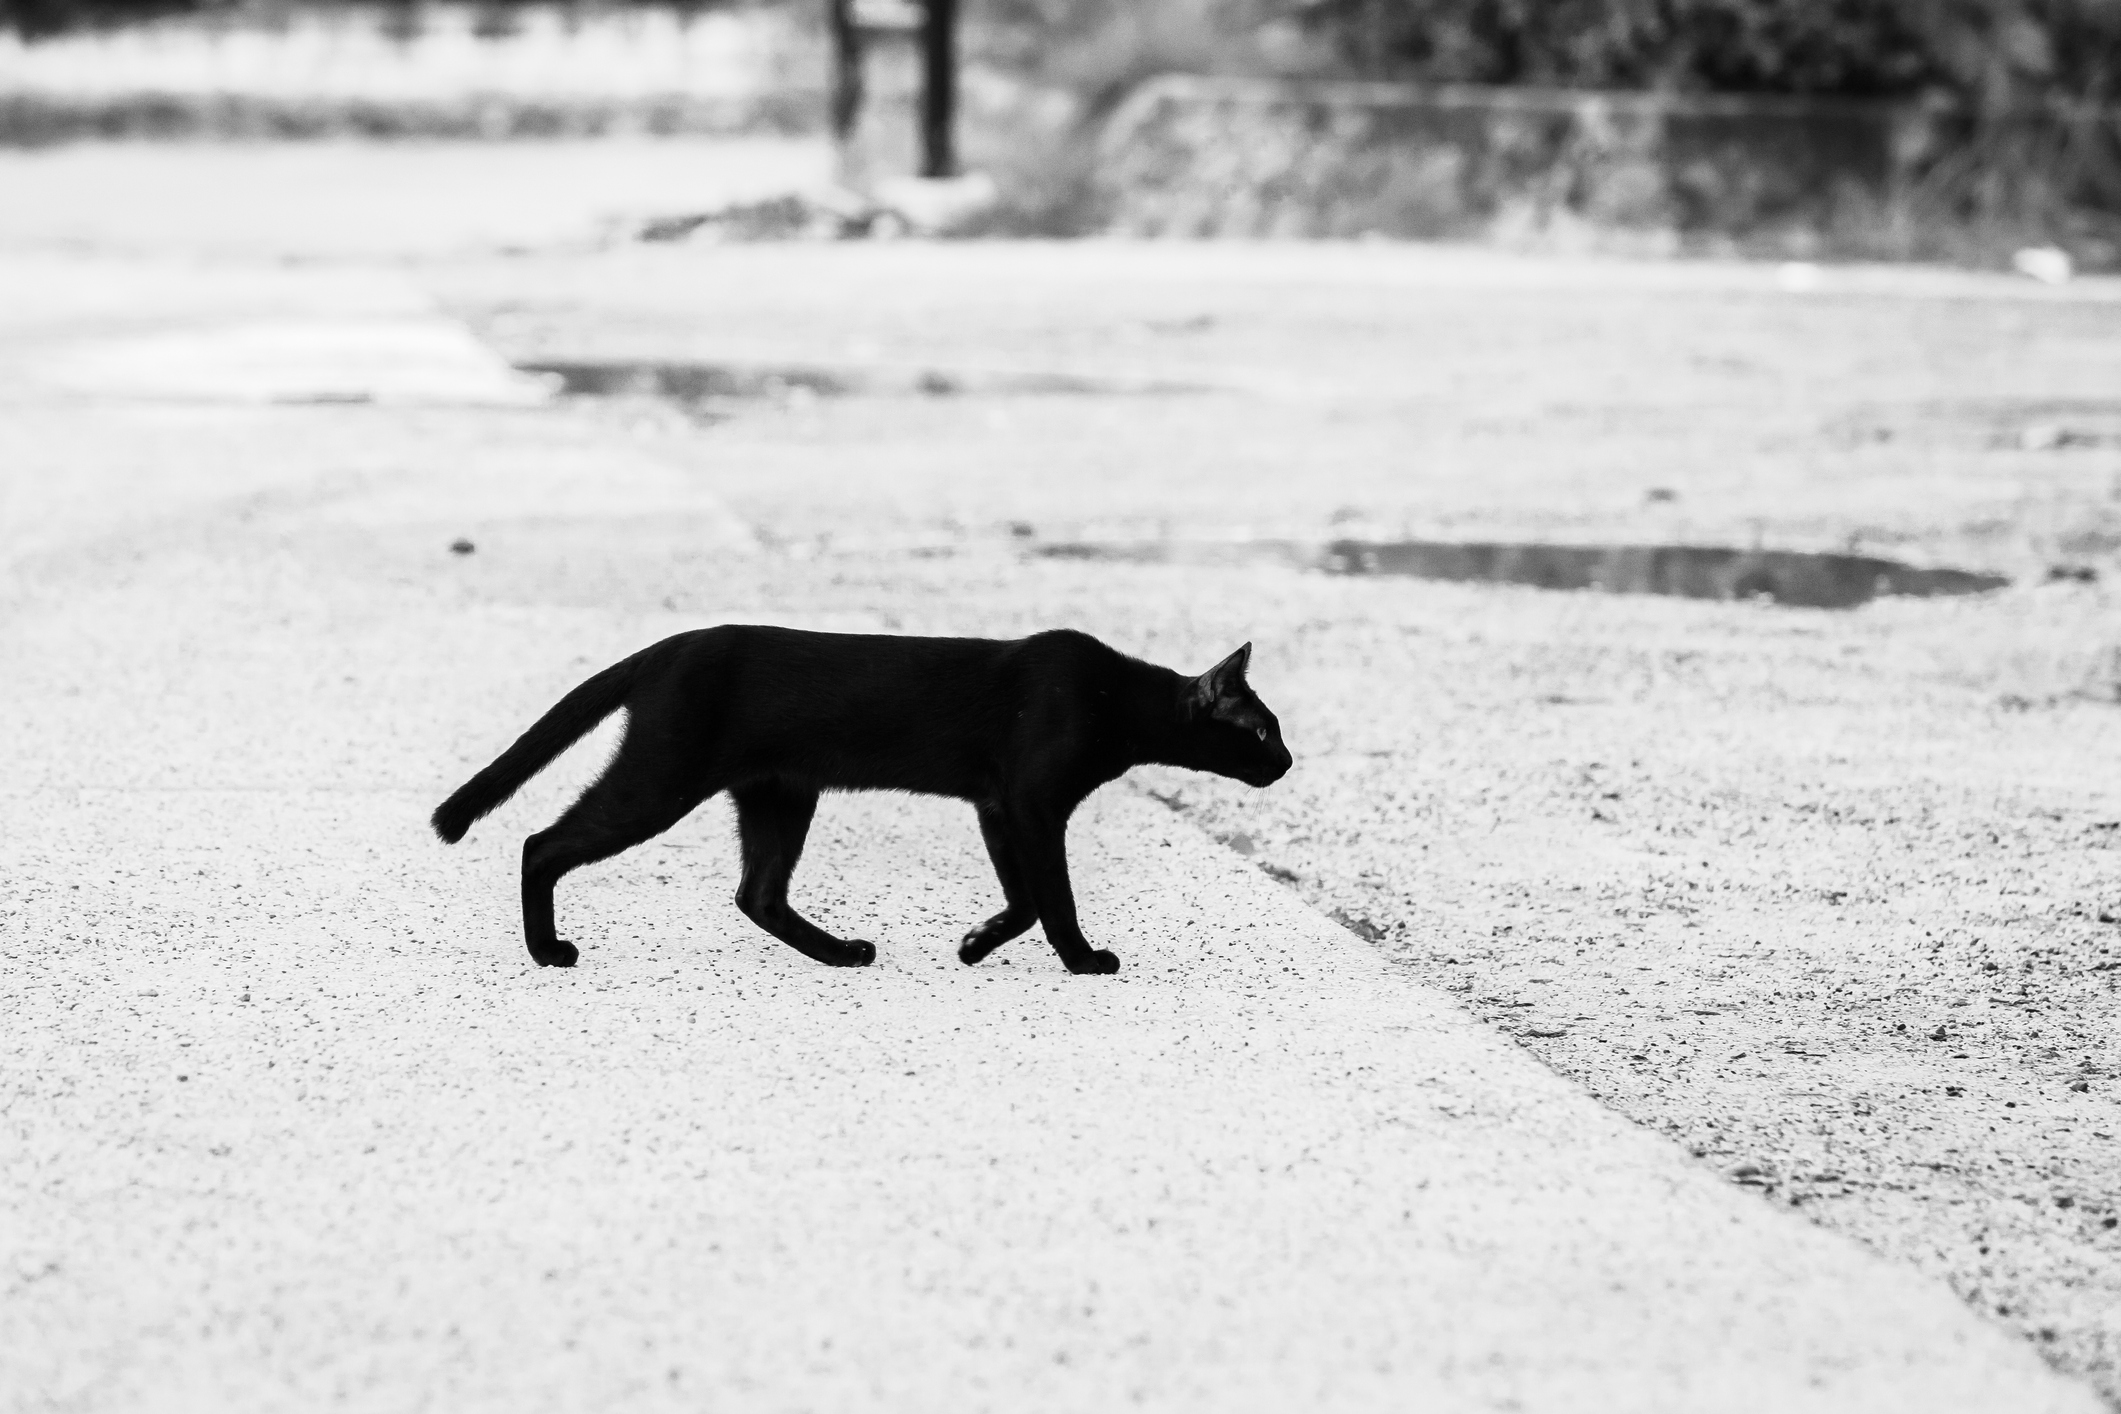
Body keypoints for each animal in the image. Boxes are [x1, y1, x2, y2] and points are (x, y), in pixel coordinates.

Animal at [430, 627, 1289, 975]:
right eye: (1260, 730)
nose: (1286, 762)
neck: (1116, 702)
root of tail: (663, 648)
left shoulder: (999, 805)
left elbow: (1022, 897)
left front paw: (974, 944)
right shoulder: (1032, 801)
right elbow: (1055, 896)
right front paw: (1084, 962)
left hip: (778, 792)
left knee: (758, 893)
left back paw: (843, 953)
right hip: (661, 780)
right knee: (541, 844)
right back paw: (548, 951)